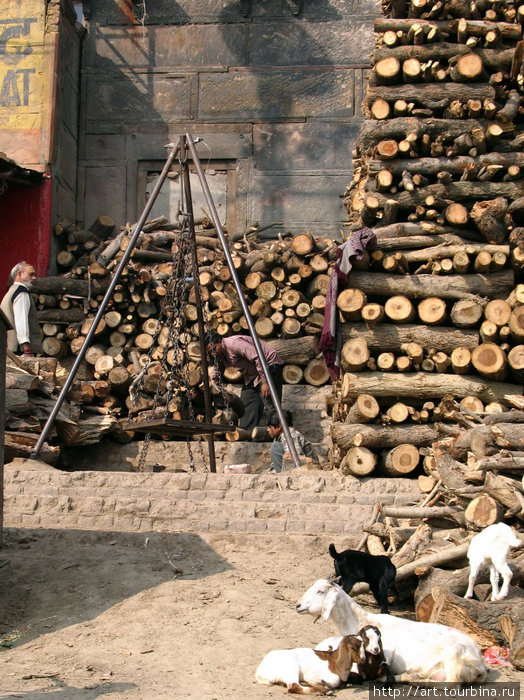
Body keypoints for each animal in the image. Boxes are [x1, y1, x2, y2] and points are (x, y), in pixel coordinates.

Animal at [296, 580, 486, 684]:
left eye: (320, 591)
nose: (298, 605)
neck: (360, 620)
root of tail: (480, 663)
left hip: (454, 660)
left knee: (451, 684)